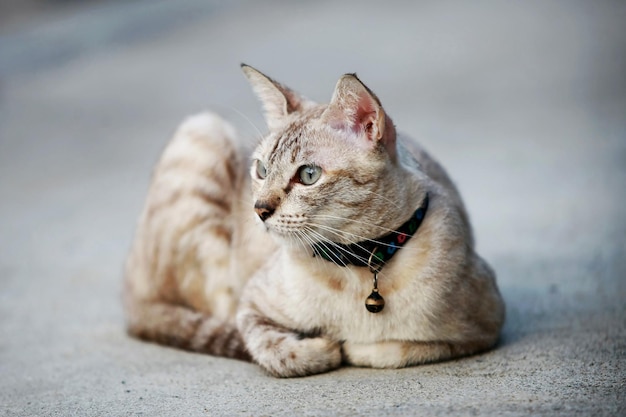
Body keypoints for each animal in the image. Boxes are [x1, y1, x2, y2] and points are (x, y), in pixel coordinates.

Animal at [124, 63, 504, 376]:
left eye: (308, 175)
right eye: (262, 170)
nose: (259, 208)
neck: (360, 260)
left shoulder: (488, 327)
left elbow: (396, 350)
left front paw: (356, 346)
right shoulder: (250, 306)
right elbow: (274, 350)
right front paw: (322, 346)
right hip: (204, 129)